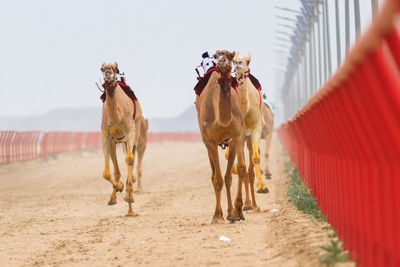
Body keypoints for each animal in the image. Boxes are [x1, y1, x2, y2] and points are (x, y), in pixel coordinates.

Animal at [101, 62, 143, 216]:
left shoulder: (130, 133)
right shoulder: (106, 137)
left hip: (135, 134)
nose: (108, 71)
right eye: (102, 68)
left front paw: (129, 197)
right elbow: (106, 173)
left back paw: (129, 199)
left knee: (131, 158)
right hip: (116, 142)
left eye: (114, 66)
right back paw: (113, 198)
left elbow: (130, 159)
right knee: (116, 170)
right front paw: (119, 187)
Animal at [195, 49, 247, 224]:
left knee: (228, 176)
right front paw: (217, 216)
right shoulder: (210, 141)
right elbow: (217, 179)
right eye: (217, 55)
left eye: (230, 55)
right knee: (214, 176)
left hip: (230, 143)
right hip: (206, 144)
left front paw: (238, 211)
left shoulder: (238, 136)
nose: (222, 61)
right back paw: (224, 214)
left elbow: (241, 170)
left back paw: (231, 213)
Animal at [227, 52, 270, 214]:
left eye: (248, 60)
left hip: (249, 138)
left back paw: (254, 204)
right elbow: (239, 164)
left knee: (250, 165)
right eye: (233, 60)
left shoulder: (256, 127)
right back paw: (247, 203)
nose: (238, 63)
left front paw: (263, 187)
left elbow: (256, 158)